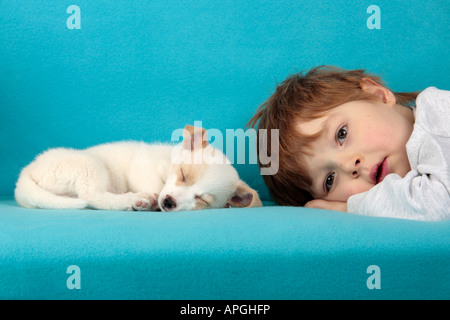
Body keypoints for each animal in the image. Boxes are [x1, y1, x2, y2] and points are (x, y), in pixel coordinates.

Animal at [14, 125, 260, 212]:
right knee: (92, 196)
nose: (168, 202)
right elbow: (152, 184)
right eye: (182, 175)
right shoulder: (142, 166)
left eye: (201, 199)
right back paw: (134, 200)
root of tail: (27, 171)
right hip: (90, 166)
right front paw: (151, 199)